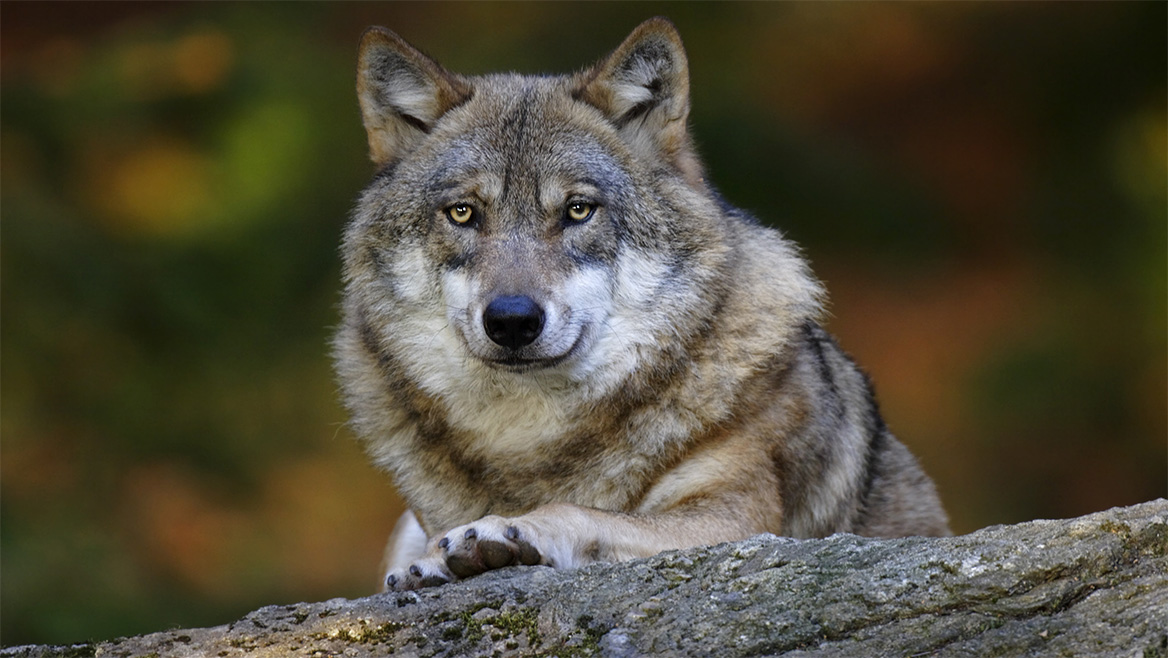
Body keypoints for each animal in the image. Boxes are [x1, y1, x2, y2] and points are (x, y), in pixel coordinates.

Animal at [336, 16, 948, 591]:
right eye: (463, 213)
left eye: (578, 210)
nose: (511, 321)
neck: (529, 438)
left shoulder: (738, 520)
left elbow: (581, 511)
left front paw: (502, 532)